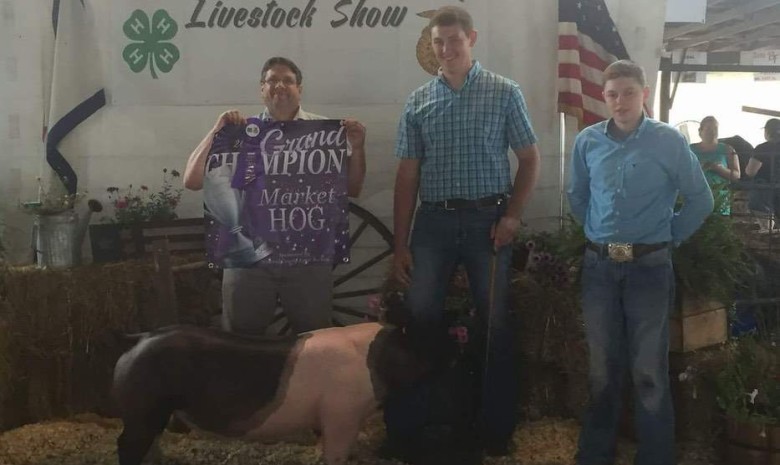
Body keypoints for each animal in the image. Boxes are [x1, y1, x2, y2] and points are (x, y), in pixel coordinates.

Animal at [112, 320, 454, 464]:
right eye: (413, 344)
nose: (444, 357)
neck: (369, 359)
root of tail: (139, 339)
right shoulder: (341, 415)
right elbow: (335, 454)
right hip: (141, 410)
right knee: (125, 445)